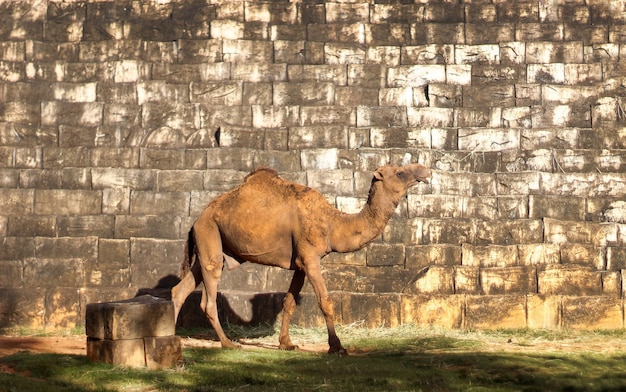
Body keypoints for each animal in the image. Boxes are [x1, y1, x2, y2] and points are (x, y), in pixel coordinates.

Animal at [173, 164, 432, 354]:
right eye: (399, 172)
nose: (425, 170)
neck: (333, 223)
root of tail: (197, 219)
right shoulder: (310, 258)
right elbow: (325, 302)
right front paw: (337, 347)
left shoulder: (300, 262)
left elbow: (289, 302)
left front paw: (286, 343)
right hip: (209, 232)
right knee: (209, 288)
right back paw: (227, 343)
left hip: (212, 242)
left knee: (183, 287)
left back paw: (170, 335)